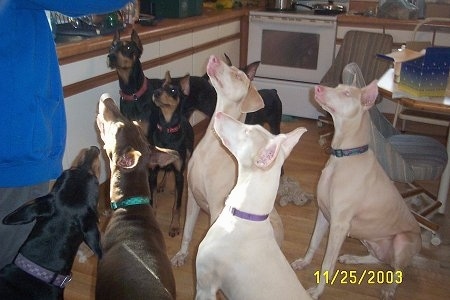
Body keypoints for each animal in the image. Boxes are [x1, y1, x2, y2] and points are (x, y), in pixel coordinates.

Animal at [152, 70, 194, 237]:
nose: (156, 93)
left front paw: (175, 226)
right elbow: (153, 198)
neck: (167, 129)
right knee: (166, 171)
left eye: (173, 90)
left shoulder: (178, 170)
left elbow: (177, 206)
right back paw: (163, 184)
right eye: (161, 86)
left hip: (187, 155)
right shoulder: (153, 170)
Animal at [292, 80, 422, 300]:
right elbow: (313, 242)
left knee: (398, 270)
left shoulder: (339, 225)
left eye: (346, 93)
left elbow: (327, 263)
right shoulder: (324, 213)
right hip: (368, 237)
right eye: (337, 87)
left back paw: (389, 288)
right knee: (379, 259)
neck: (344, 155)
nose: (317, 88)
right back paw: (353, 258)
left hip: (403, 240)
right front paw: (304, 262)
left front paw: (317, 291)